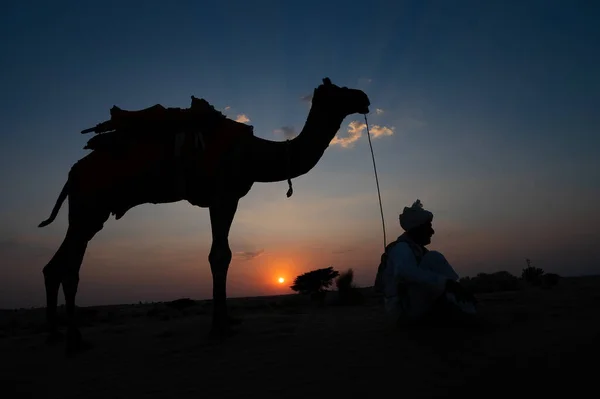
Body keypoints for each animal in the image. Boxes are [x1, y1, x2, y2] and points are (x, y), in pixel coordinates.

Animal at [38, 76, 370, 354]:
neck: (256, 154)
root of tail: (72, 174)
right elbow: (220, 255)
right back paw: (73, 341)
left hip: (90, 214)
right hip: (89, 208)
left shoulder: (224, 198)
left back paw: (57, 335)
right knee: (69, 267)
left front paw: (224, 323)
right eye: (339, 90)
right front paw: (219, 328)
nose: (363, 96)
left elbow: (222, 254)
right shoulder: (223, 195)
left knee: (57, 265)